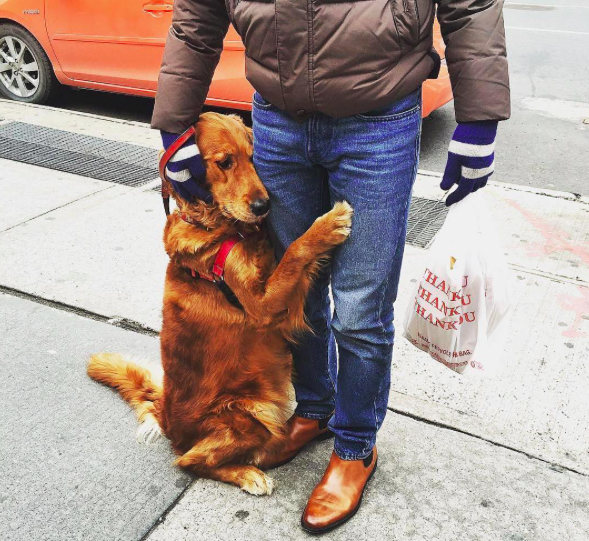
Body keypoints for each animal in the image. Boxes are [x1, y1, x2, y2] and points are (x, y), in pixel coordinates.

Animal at [88, 110, 354, 494]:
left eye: (254, 158)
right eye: (225, 162)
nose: (263, 206)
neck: (224, 229)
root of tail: (166, 417)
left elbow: (288, 256)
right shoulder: (261, 306)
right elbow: (295, 251)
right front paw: (329, 225)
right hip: (251, 410)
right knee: (191, 461)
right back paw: (248, 473)